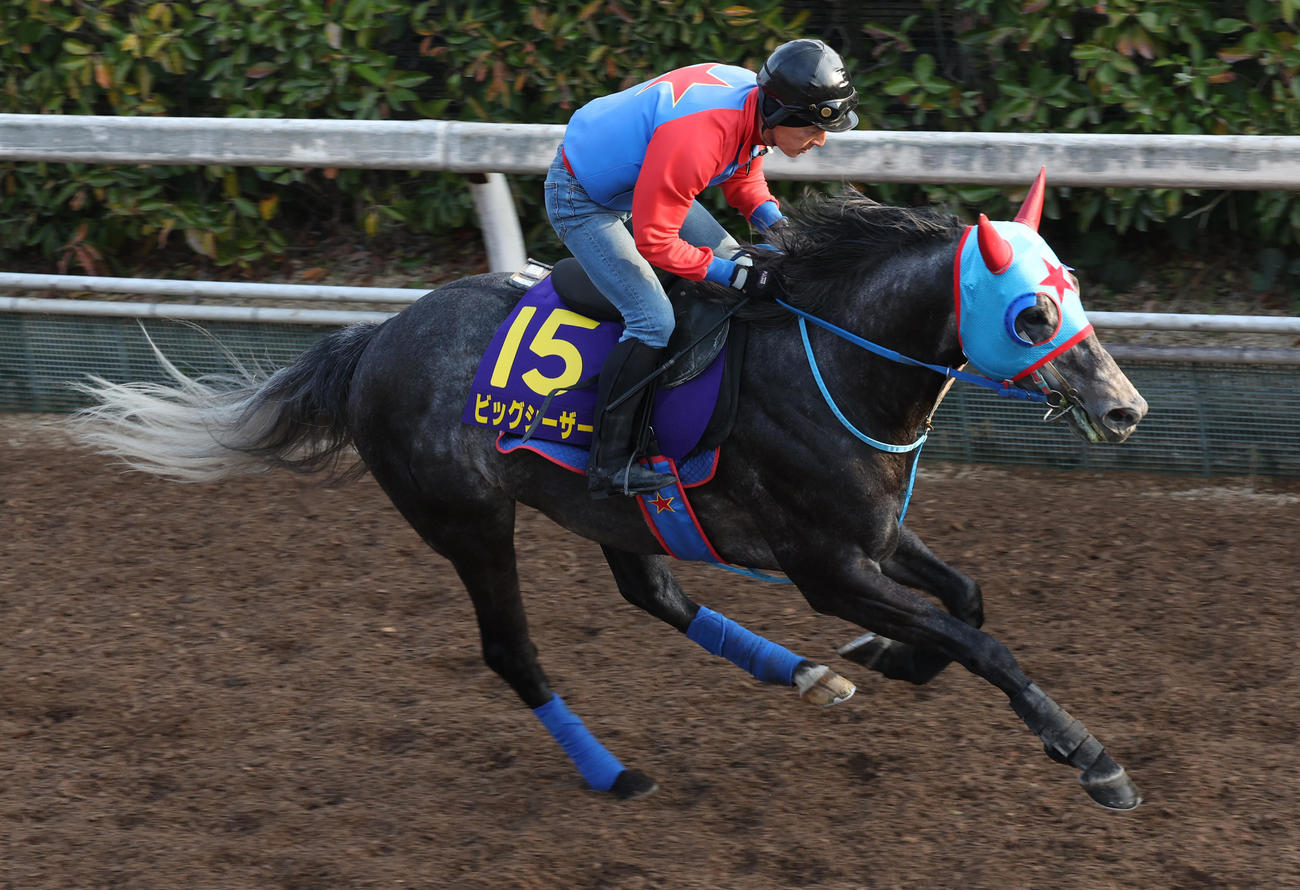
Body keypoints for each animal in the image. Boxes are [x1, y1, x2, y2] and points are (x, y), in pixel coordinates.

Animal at [71, 171, 1149, 810]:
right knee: (512, 650)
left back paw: (804, 673)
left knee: (654, 593)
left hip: (608, 507)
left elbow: (966, 601)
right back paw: (611, 770)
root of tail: (374, 341)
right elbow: (981, 641)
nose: (1127, 407)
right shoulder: (826, 565)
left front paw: (885, 655)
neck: (831, 361)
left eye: (1076, 290)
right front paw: (1088, 753)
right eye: (1030, 311)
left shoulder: (876, 535)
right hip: (469, 522)